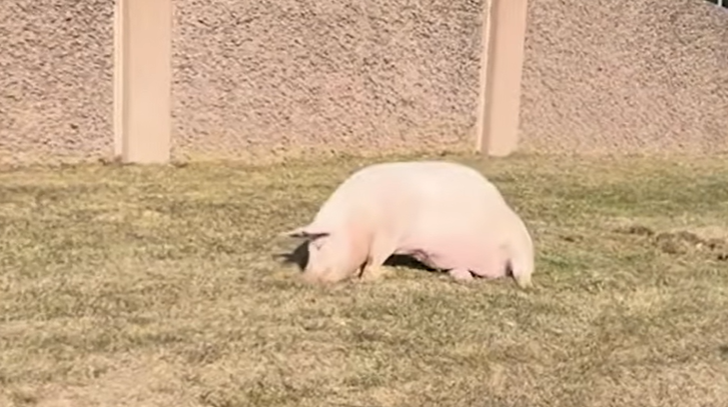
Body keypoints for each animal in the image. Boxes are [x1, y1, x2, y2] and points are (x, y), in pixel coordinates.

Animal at [282, 160, 535, 288]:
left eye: (320, 245)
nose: (305, 280)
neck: (359, 218)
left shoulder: (389, 234)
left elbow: (375, 259)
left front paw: (374, 276)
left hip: (520, 243)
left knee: (522, 270)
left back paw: (524, 285)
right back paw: (462, 277)